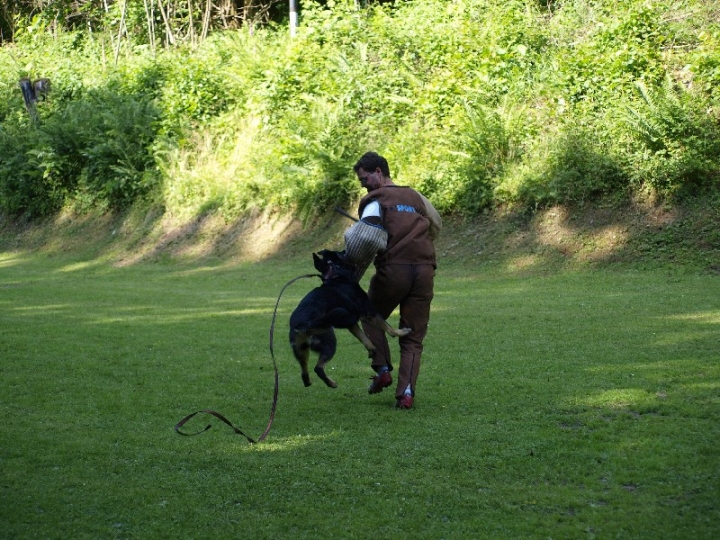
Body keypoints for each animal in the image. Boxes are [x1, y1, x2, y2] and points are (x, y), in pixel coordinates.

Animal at [288, 249, 410, 388]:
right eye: (339, 253)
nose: (345, 249)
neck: (335, 277)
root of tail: (302, 326)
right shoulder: (368, 311)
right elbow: (387, 326)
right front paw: (401, 332)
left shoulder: (351, 323)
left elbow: (364, 338)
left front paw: (372, 350)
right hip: (329, 341)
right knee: (318, 368)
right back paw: (332, 383)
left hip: (301, 351)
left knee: (304, 373)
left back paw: (310, 382)